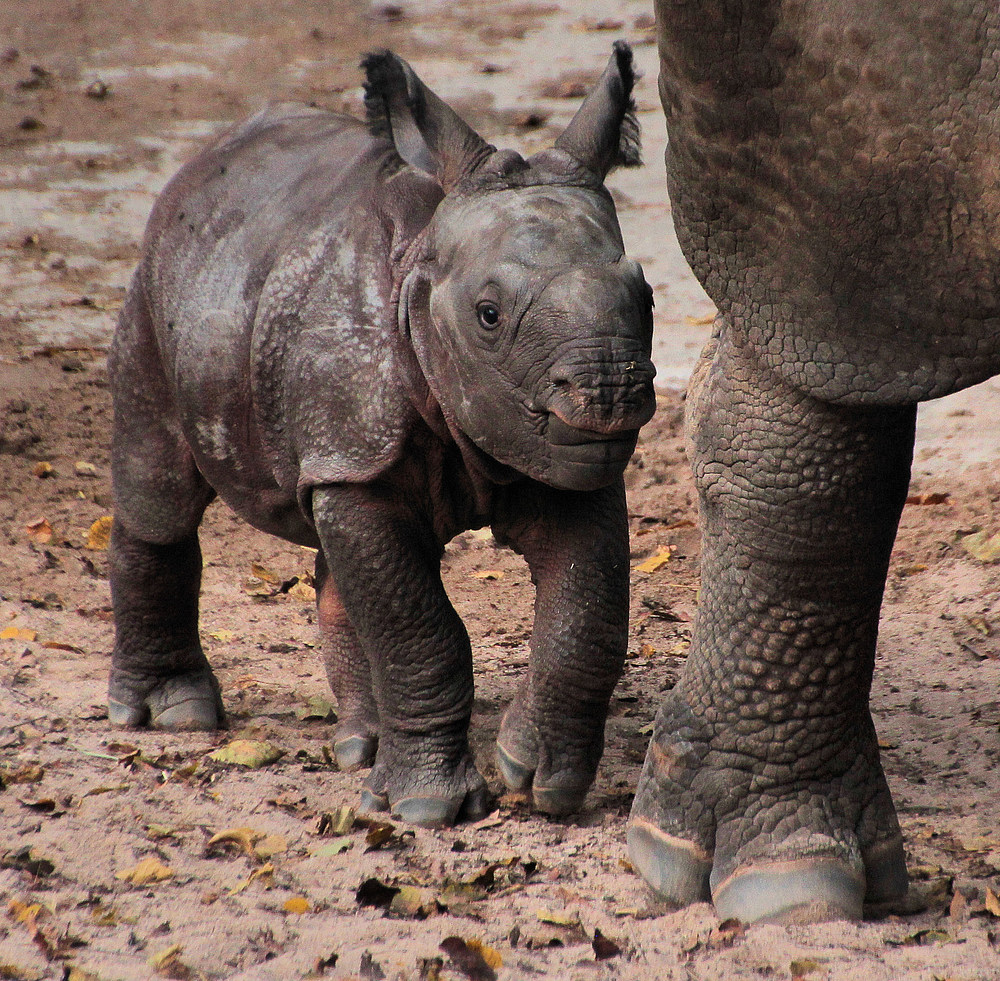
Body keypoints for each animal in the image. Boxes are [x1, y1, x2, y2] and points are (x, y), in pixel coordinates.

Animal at [109, 46, 656, 828]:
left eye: (646, 298)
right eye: (489, 314)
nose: (609, 392)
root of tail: (205, 159)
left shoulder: (560, 453)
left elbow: (588, 611)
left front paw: (536, 778)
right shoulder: (354, 453)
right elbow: (420, 628)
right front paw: (429, 809)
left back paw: (359, 748)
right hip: (156, 285)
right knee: (157, 486)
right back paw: (171, 715)